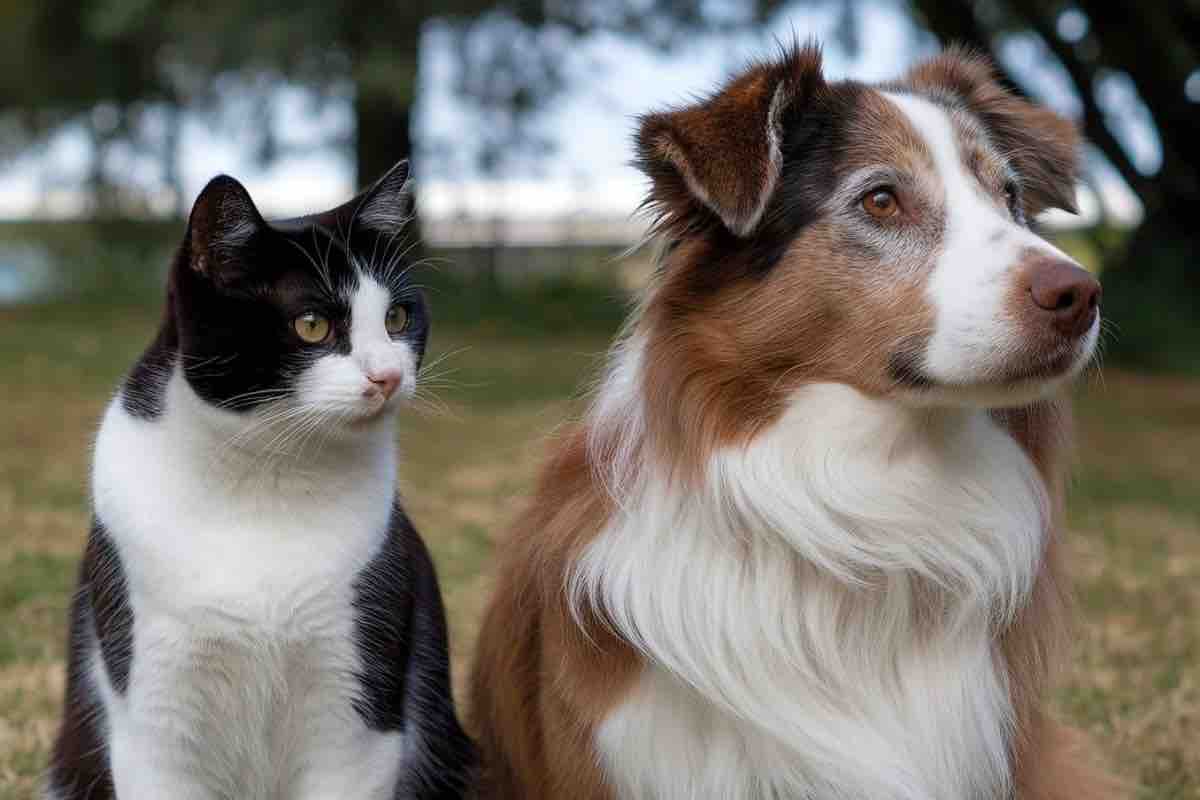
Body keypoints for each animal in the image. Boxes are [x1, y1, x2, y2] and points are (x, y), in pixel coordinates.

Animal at [46, 163, 477, 800]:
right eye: (312, 325)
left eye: (397, 318)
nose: (388, 376)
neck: (264, 476)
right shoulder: (155, 713)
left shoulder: (355, 704)